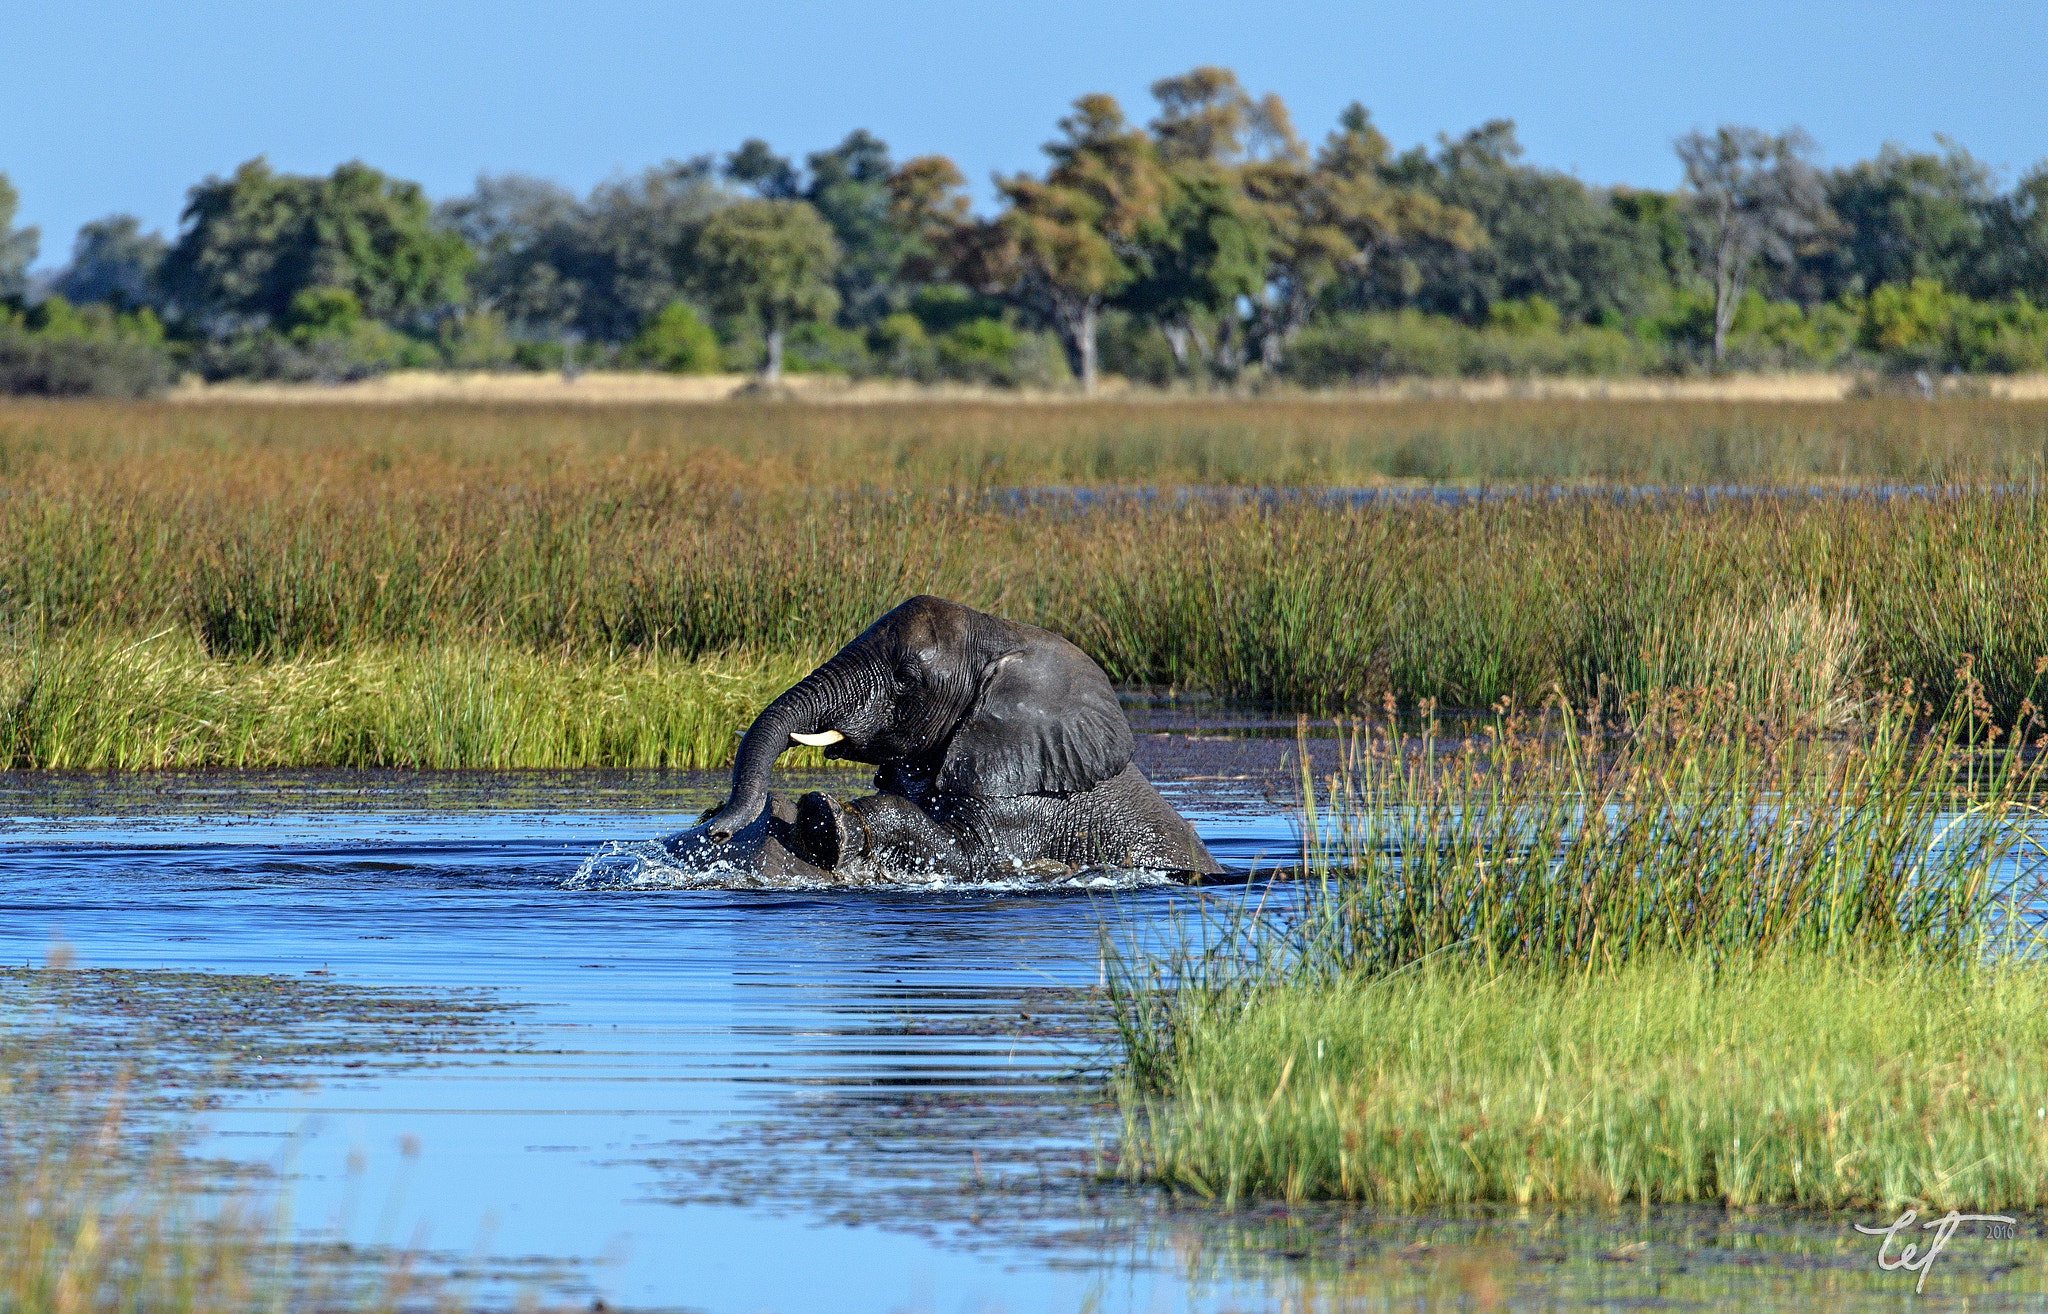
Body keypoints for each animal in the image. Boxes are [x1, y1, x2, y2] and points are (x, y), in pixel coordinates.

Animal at [663, 596, 1222, 884]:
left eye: (907, 678)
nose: (715, 828)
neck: (1001, 633)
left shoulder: (1024, 799)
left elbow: (972, 859)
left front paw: (826, 815)